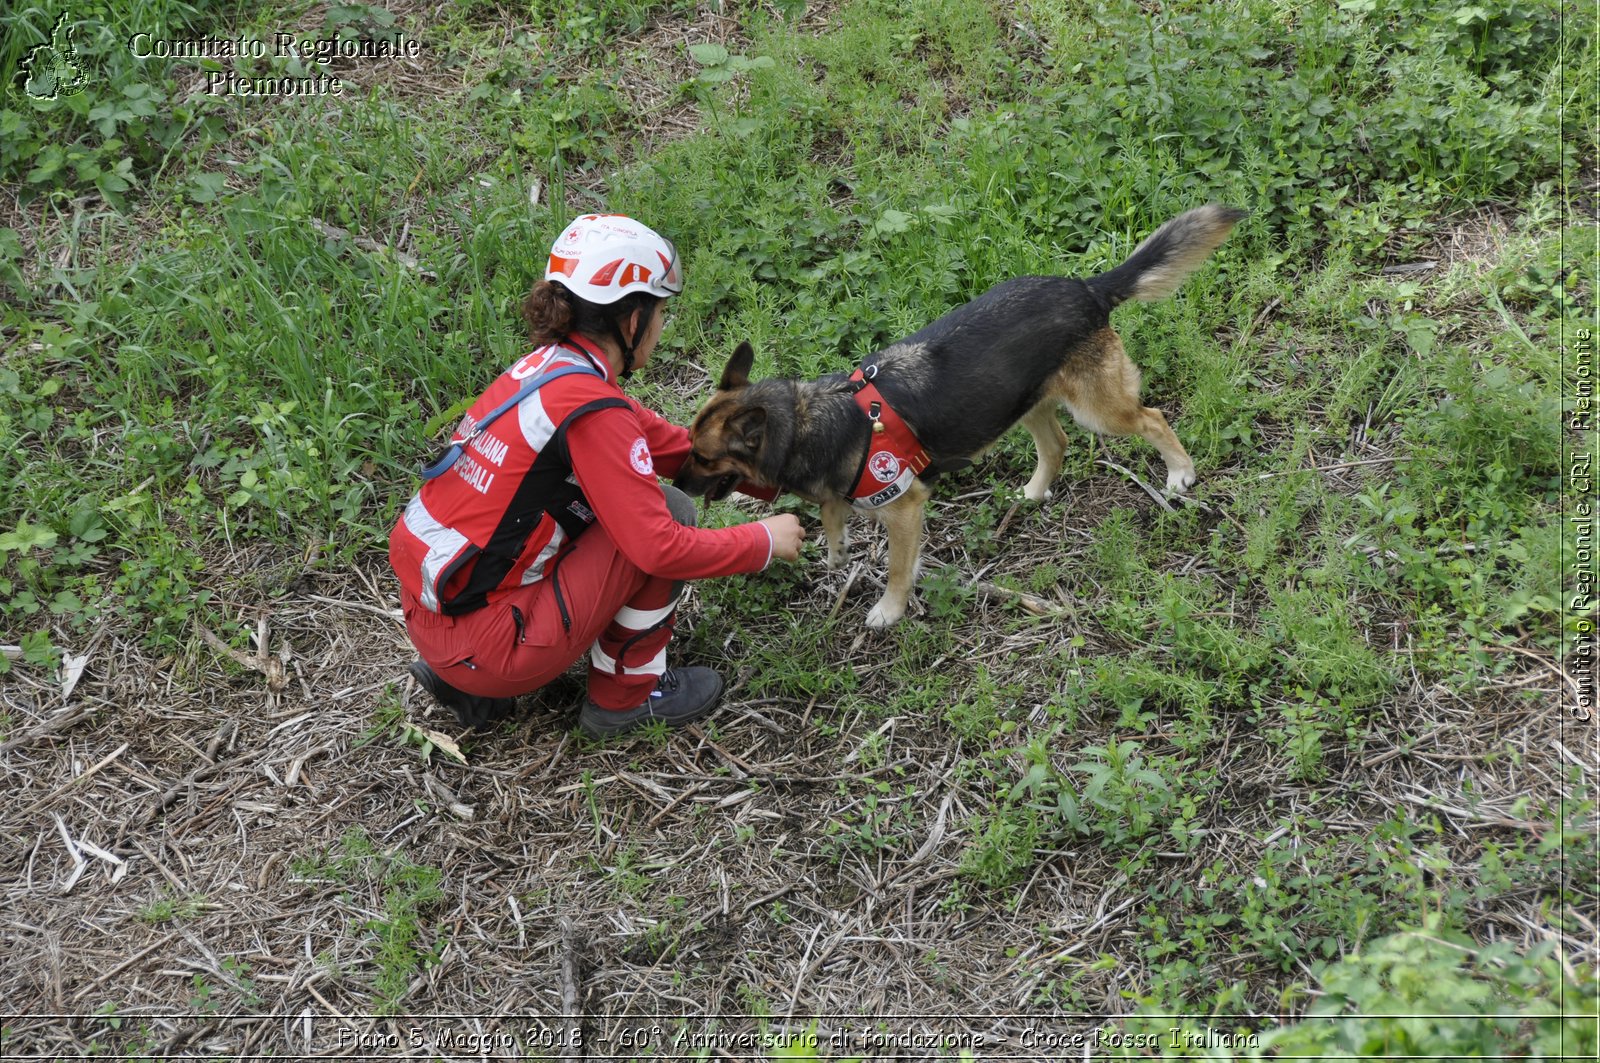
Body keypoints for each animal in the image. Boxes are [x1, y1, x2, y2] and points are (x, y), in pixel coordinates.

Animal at [668, 203, 1241, 627]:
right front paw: (835, 552)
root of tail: (1086, 287)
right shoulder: (843, 493)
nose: (672, 482)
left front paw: (889, 610)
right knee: (1056, 444)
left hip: (1097, 410)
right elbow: (834, 516)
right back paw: (1034, 493)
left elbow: (898, 568)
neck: (810, 420)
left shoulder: (904, 509)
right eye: (689, 445)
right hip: (1021, 403)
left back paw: (1179, 474)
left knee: (1153, 418)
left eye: (703, 457)